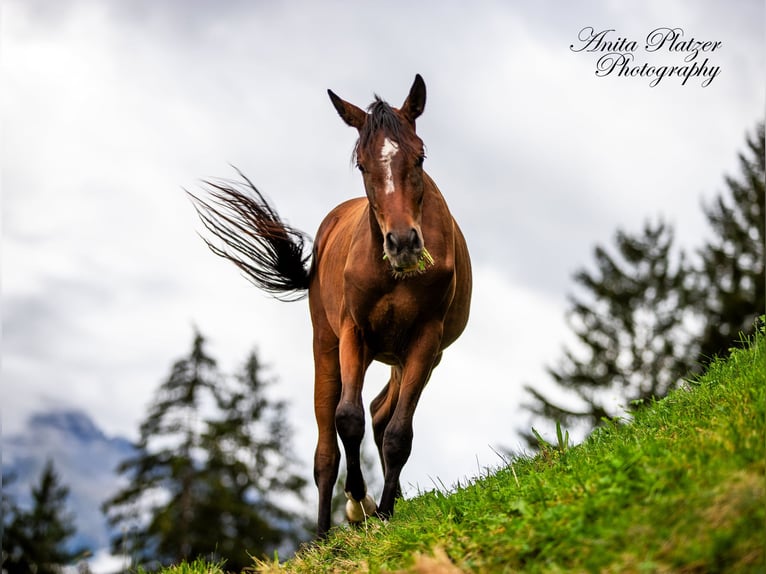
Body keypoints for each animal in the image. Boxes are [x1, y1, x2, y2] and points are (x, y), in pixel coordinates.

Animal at [189, 74, 472, 536]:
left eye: (420, 156)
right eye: (362, 165)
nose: (403, 243)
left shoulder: (425, 340)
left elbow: (398, 433)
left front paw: (384, 510)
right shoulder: (353, 334)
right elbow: (347, 419)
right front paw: (357, 502)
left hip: (409, 356)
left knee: (383, 414)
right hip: (327, 346)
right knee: (327, 448)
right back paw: (323, 535)